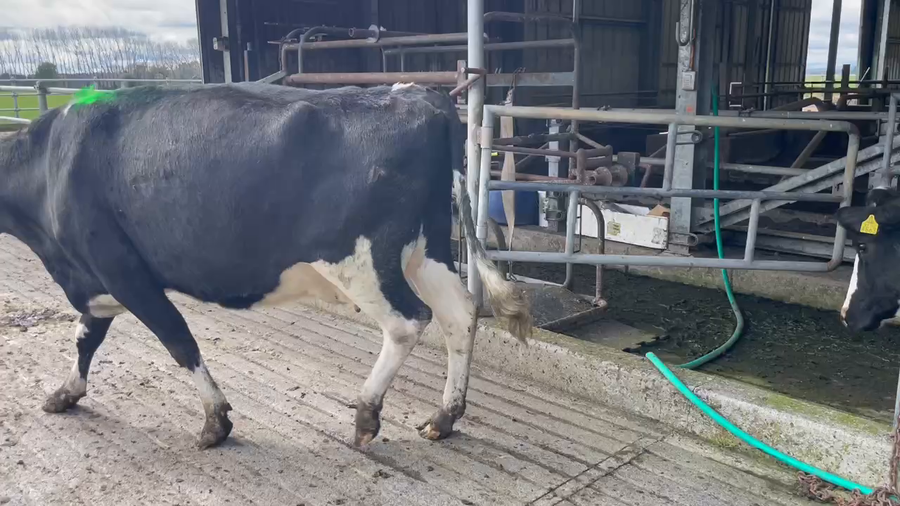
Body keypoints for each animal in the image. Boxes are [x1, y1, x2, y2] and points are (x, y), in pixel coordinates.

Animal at [0, 82, 532, 449]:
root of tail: (417, 94)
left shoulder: (122, 269)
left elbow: (177, 340)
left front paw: (215, 422)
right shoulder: (94, 275)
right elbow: (85, 336)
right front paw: (65, 393)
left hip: (361, 260)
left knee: (408, 321)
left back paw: (366, 414)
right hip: (427, 247)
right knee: (459, 313)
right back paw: (444, 417)